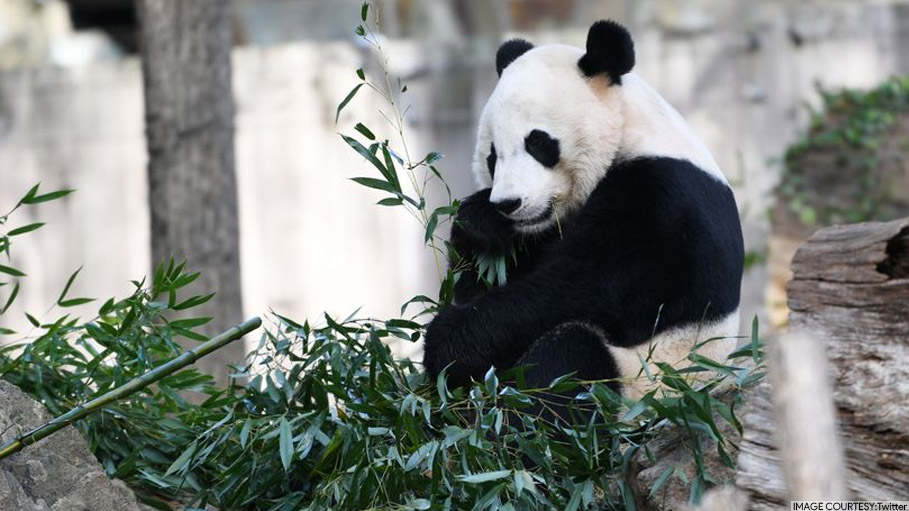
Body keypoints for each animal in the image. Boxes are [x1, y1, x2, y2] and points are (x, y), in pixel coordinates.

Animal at [422, 20, 744, 407]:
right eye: (493, 156)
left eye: (538, 142)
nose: (509, 203)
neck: (629, 132)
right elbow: (486, 275)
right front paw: (480, 224)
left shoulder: (665, 201)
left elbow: (590, 290)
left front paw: (445, 343)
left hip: (655, 380)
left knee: (571, 356)